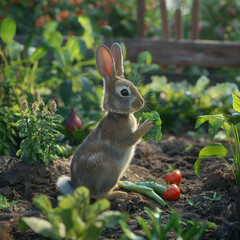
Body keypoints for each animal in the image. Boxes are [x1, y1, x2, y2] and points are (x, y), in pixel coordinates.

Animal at [56, 43, 152, 201]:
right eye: (124, 92)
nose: (142, 102)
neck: (117, 115)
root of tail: (82, 190)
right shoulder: (122, 136)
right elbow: (132, 139)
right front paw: (148, 124)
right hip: (109, 173)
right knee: (100, 196)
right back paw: (120, 194)